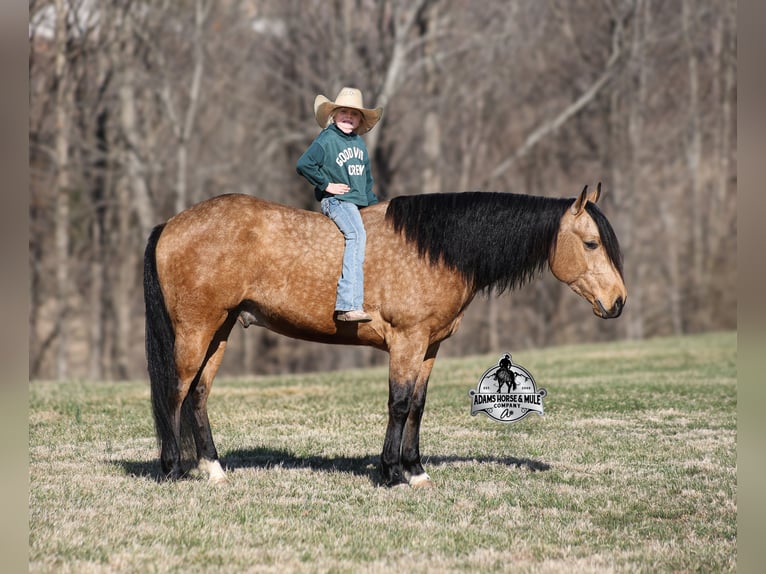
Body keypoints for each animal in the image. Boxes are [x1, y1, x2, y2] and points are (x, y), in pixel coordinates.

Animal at [144, 183, 626, 487]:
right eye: (591, 244)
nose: (618, 301)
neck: (433, 249)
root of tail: (170, 224)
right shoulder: (406, 341)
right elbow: (398, 404)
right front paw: (391, 472)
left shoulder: (429, 346)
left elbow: (417, 406)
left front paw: (415, 470)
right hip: (196, 330)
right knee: (175, 392)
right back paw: (171, 470)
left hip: (220, 330)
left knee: (198, 396)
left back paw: (213, 469)